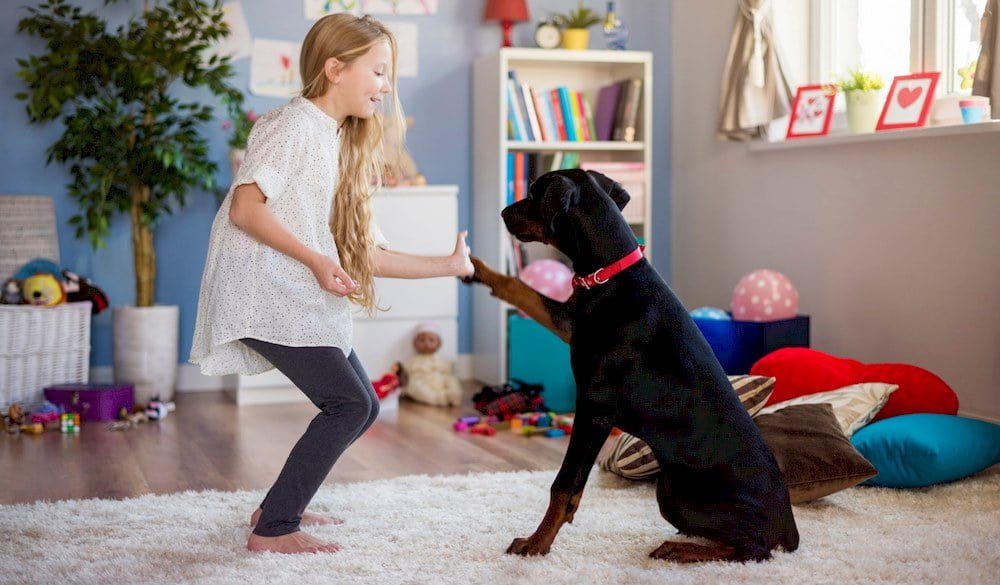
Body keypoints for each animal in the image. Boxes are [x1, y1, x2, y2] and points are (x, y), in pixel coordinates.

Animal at [464, 168, 800, 560]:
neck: (608, 273)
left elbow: (564, 484)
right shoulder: (569, 323)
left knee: (753, 549)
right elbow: (520, 289)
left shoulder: (594, 408)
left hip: (676, 493)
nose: (503, 212)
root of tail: (789, 524)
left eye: (534, 193)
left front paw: (536, 543)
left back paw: (679, 549)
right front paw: (477, 269)